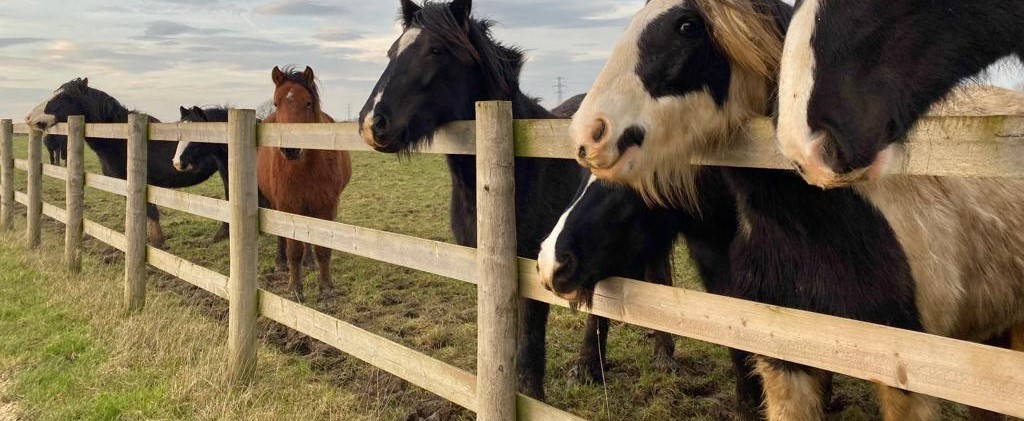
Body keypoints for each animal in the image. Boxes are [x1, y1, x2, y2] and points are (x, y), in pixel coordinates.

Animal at [259, 66, 352, 303]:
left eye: (308, 102)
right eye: (276, 103)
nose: (290, 149)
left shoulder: (326, 206)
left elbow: (322, 249)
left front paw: (326, 288)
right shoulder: (288, 205)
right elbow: (293, 250)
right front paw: (295, 289)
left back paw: (309, 261)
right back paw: (280, 263)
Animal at [357, 0, 679, 399]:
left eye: (435, 50)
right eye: (391, 52)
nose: (372, 123)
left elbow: (529, 347)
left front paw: (531, 396)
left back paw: (659, 355)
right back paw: (590, 366)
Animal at [567, 1, 930, 420]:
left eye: (687, 26)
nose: (588, 132)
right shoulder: (716, 263)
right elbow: (741, 342)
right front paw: (748, 404)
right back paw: (589, 367)